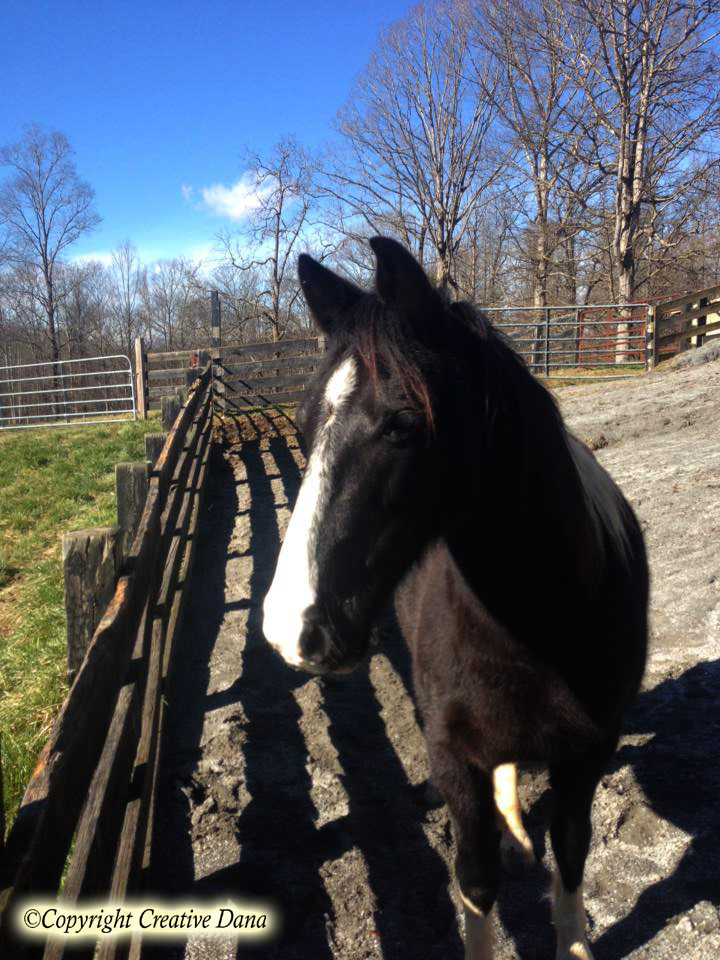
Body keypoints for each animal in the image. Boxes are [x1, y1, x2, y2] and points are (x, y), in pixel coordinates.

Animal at [262, 237, 648, 960]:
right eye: (301, 427)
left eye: (404, 422)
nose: (288, 629)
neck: (540, 625)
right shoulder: (453, 759)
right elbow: (475, 881)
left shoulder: (588, 753)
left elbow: (572, 855)